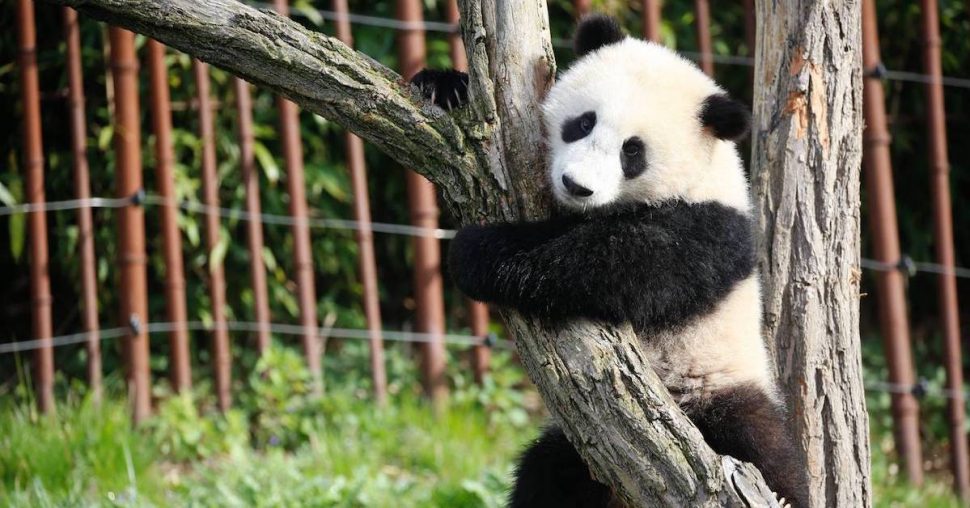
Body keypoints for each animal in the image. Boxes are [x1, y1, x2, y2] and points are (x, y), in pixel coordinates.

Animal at [412, 12, 804, 508]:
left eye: (632, 151)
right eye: (583, 123)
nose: (576, 185)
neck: (702, 176)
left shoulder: (707, 230)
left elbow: (612, 266)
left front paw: (475, 250)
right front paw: (444, 86)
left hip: (717, 393)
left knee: (765, 452)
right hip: (578, 453)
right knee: (547, 474)